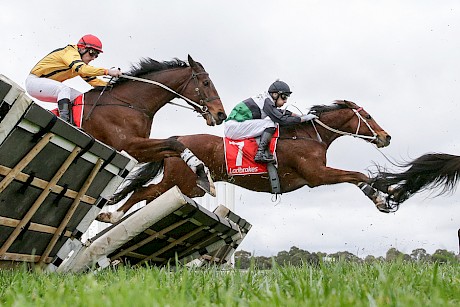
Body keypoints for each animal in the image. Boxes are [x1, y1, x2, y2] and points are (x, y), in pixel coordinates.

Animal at [81, 54, 228, 192]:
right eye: (206, 83)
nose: (221, 114)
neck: (130, 103)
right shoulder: (128, 145)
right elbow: (174, 143)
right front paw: (202, 174)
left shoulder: (140, 153)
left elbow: (176, 148)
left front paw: (202, 173)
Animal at [98, 101, 392, 224]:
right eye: (367, 116)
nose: (386, 136)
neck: (310, 135)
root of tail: (178, 139)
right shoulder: (316, 175)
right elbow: (357, 175)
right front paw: (380, 196)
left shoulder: (319, 174)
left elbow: (356, 177)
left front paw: (379, 196)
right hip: (181, 181)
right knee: (142, 192)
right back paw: (110, 215)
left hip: (187, 186)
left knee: (147, 194)